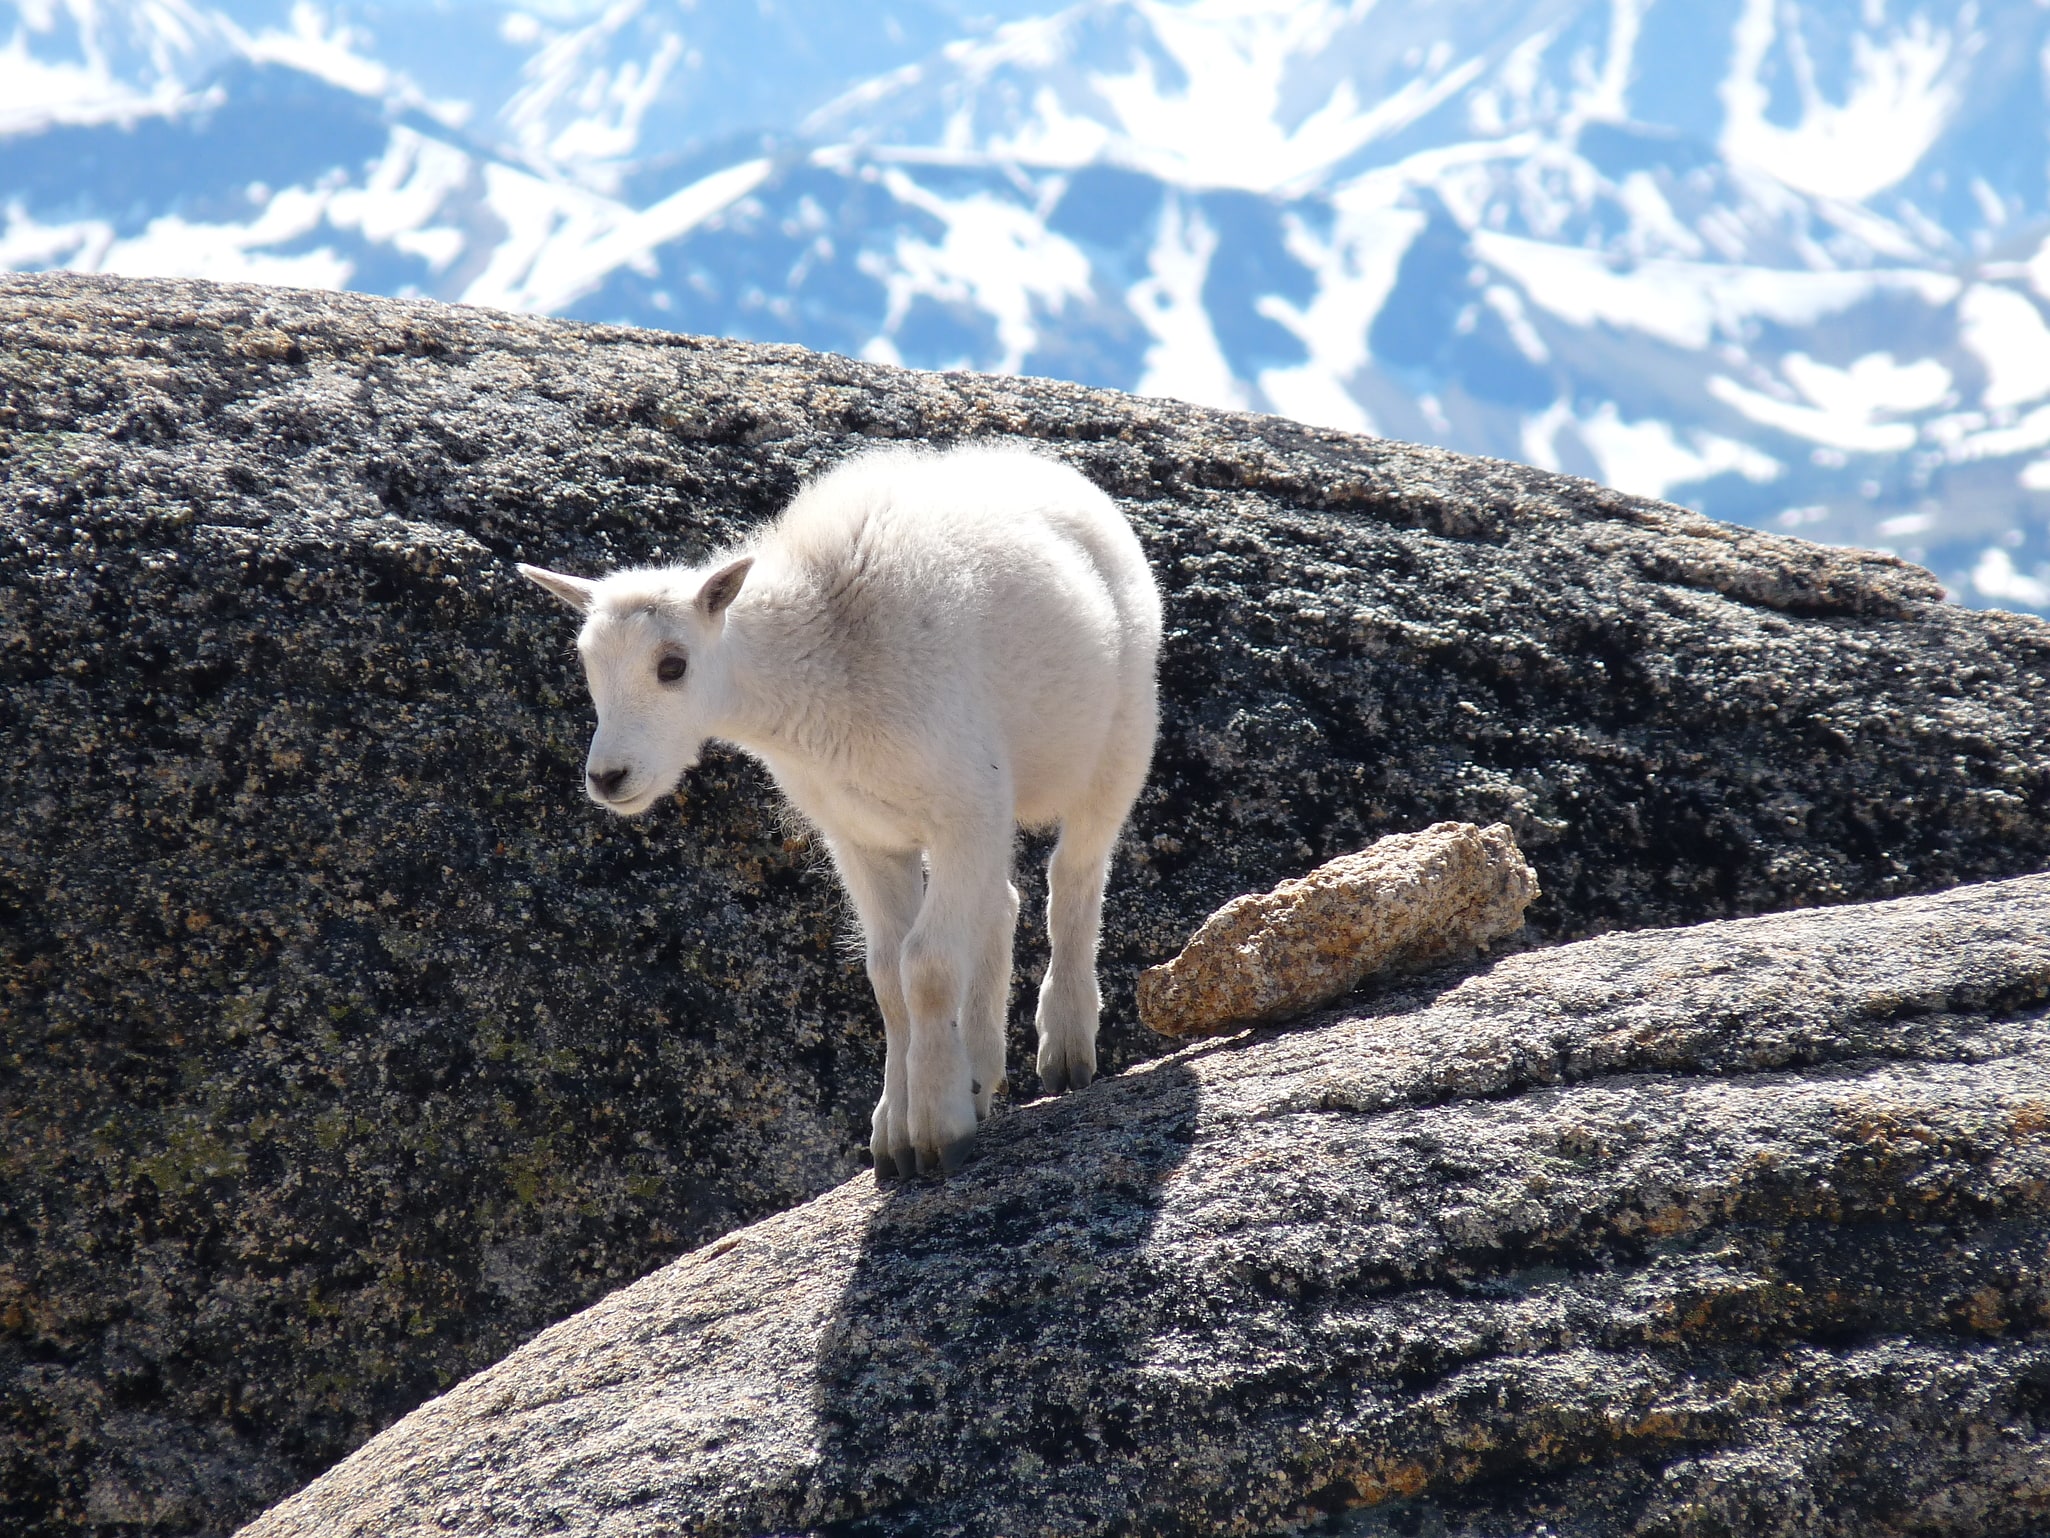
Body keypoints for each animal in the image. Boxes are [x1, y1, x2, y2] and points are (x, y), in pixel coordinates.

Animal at [520, 444, 1164, 1181]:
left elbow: (927, 968)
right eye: (587, 664)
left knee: (1076, 874)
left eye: (672, 665)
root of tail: (1044, 464)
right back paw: (981, 1072)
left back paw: (1065, 1045)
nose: (608, 777)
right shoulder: (863, 835)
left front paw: (937, 1130)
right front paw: (893, 1134)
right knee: (999, 903)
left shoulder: (963, 805)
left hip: (1121, 736)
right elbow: (887, 975)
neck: (822, 659)